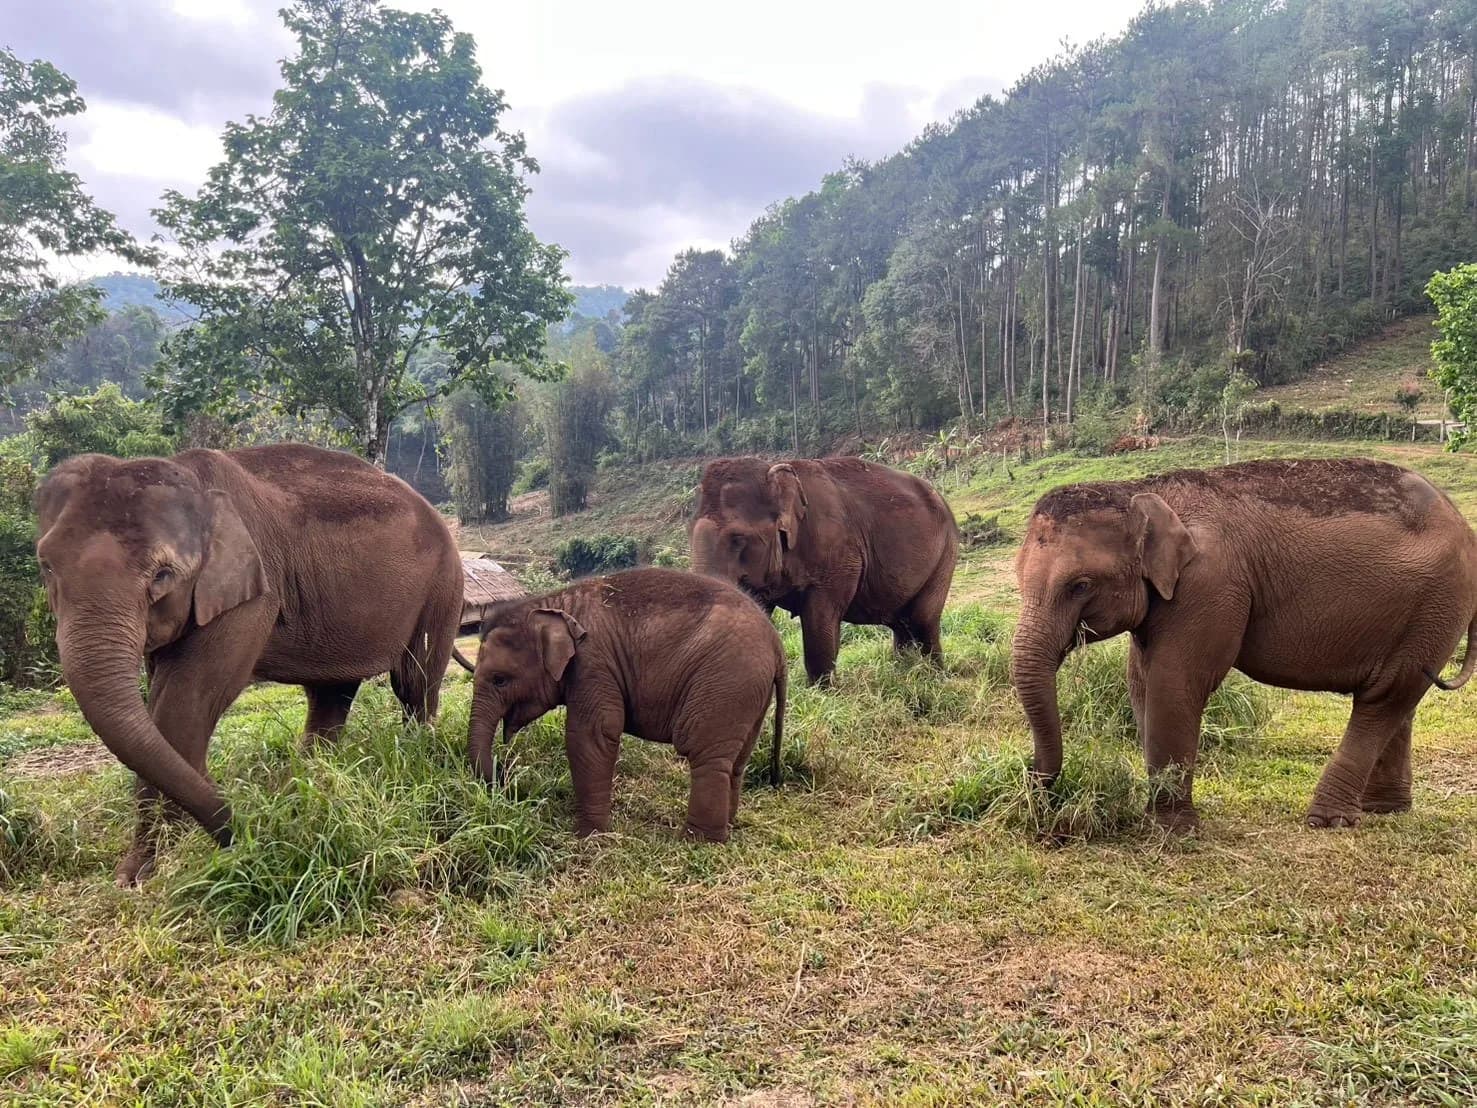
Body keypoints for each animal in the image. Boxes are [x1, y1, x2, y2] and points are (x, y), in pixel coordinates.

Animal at [34, 443, 464, 884]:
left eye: (163, 574)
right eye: (46, 565)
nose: (244, 835)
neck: (193, 480)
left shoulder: (251, 594)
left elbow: (181, 711)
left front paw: (141, 874)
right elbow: (160, 710)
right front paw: (139, 872)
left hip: (443, 584)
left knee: (413, 681)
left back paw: (411, 752)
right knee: (331, 693)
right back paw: (313, 782)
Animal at [466, 568, 787, 841]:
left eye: (499, 680)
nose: (507, 777)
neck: (551, 603)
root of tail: (776, 643)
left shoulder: (593, 664)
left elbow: (592, 734)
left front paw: (589, 835)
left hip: (726, 677)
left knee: (705, 753)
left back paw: (696, 841)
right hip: (749, 692)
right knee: (737, 761)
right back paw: (727, 826)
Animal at [689, 456, 958, 684]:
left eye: (737, 538)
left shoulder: (839, 557)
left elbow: (819, 619)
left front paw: (825, 694)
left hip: (945, 553)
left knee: (922, 619)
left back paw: (933, 677)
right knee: (902, 624)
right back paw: (905, 673)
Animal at [1012, 457, 1477, 832]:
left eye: (1080, 585)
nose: (1040, 799)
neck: (1144, 491)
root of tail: (1464, 526)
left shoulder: (1211, 583)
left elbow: (1174, 683)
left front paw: (1171, 831)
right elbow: (1141, 684)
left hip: (1439, 601)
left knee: (1384, 698)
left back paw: (1328, 821)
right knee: (1400, 699)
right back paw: (1384, 810)